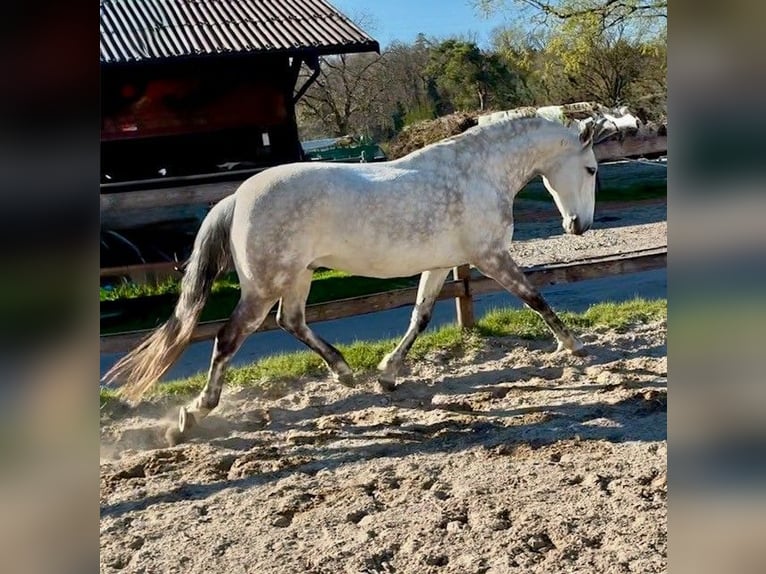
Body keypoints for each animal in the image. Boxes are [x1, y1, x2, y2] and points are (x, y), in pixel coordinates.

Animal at [103, 115, 604, 443]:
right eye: (592, 168)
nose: (579, 226)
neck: (479, 174)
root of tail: (237, 197)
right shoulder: (490, 257)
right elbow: (534, 297)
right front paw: (575, 346)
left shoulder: (441, 264)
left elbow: (420, 317)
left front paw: (387, 375)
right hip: (265, 286)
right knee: (228, 337)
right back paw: (192, 416)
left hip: (298, 277)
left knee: (291, 321)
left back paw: (345, 372)